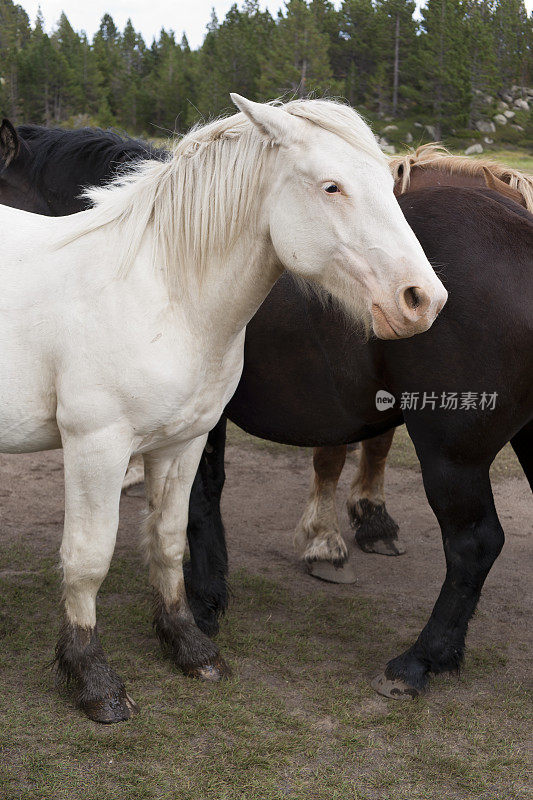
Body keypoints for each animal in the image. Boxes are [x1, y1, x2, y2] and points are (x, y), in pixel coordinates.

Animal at [2, 120, 528, 700]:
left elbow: (197, 506)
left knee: (473, 544)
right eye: (333, 187)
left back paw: (419, 661)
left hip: (452, 453)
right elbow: (195, 507)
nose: (422, 298)